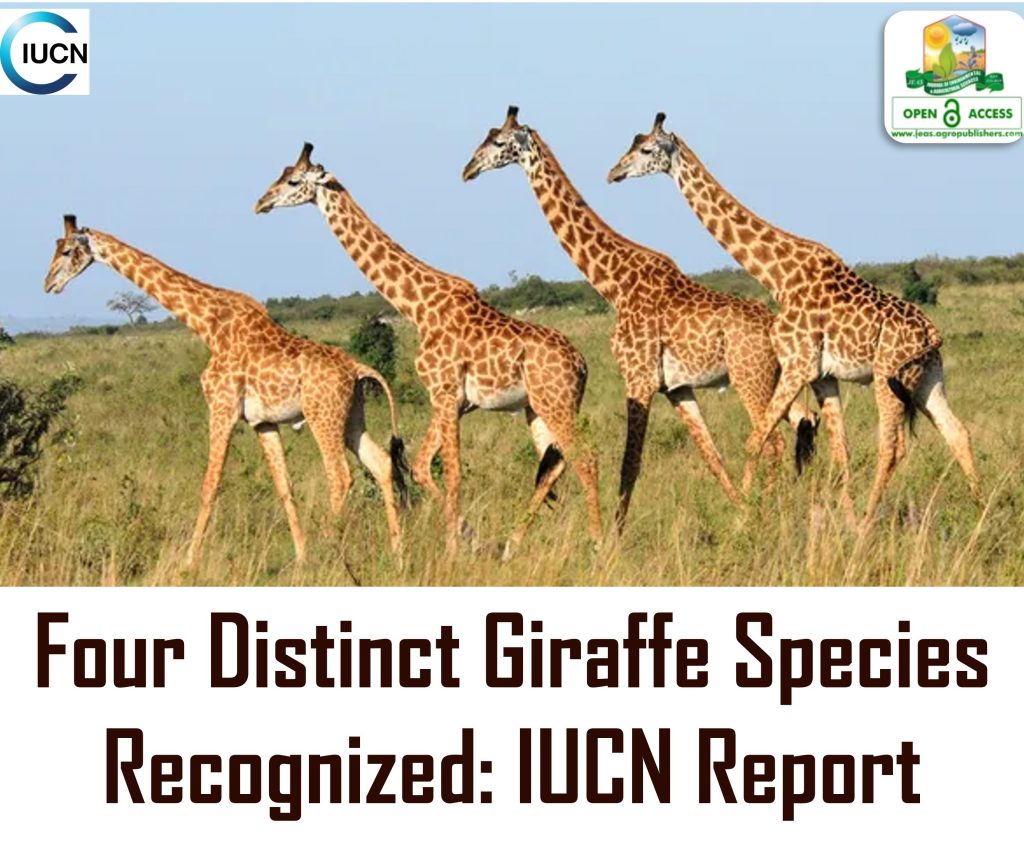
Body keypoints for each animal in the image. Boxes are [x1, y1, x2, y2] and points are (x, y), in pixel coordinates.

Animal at [42, 215, 407, 567]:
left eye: (66, 251)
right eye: (56, 246)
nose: (48, 284)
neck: (207, 326)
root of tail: (358, 369)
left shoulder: (222, 408)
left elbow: (210, 484)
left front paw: (189, 561)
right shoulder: (262, 422)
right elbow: (284, 486)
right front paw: (301, 556)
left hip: (323, 415)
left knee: (341, 476)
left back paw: (332, 547)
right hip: (352, 415)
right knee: (381, 462)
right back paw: (395, 551)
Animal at [254, 143, 603, 559]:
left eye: (293, 181)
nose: (261, 202)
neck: (417, 307)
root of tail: (582, 364)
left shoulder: (444, 392)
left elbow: (450, 472)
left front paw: (454, 547)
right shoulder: (451, 400)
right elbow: (422, 467)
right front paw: (467, 536)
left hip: (556, 403)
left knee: (584, 458)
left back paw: (600, 544)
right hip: (537, 407)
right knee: (555, 463)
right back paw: (517, 544)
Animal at [462, 106, 818, 531]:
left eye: (498, 142)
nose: (467, 168)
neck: (613, 283)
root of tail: (776, 326)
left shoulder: (638, 376)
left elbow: (629, 464)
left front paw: (611, 538)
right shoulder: (676, 387)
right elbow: (712, 457)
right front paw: (740, 511)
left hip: (750, 376)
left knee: (772, 440)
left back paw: (772, 519)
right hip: (776, 377)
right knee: (801, 422)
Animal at [607, 113, 981, 526]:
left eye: (646, 149)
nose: (614, 173)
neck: (778, 276)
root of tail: (932, 332)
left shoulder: (796, 365)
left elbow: (756, 440)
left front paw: (747, 516)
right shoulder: (822, 376)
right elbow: (840, 447)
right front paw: (840, 518)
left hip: (887, 376)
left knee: (893, 447)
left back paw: (870, 522)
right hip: (929, 377)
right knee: (958, 432)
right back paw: (981, 511)